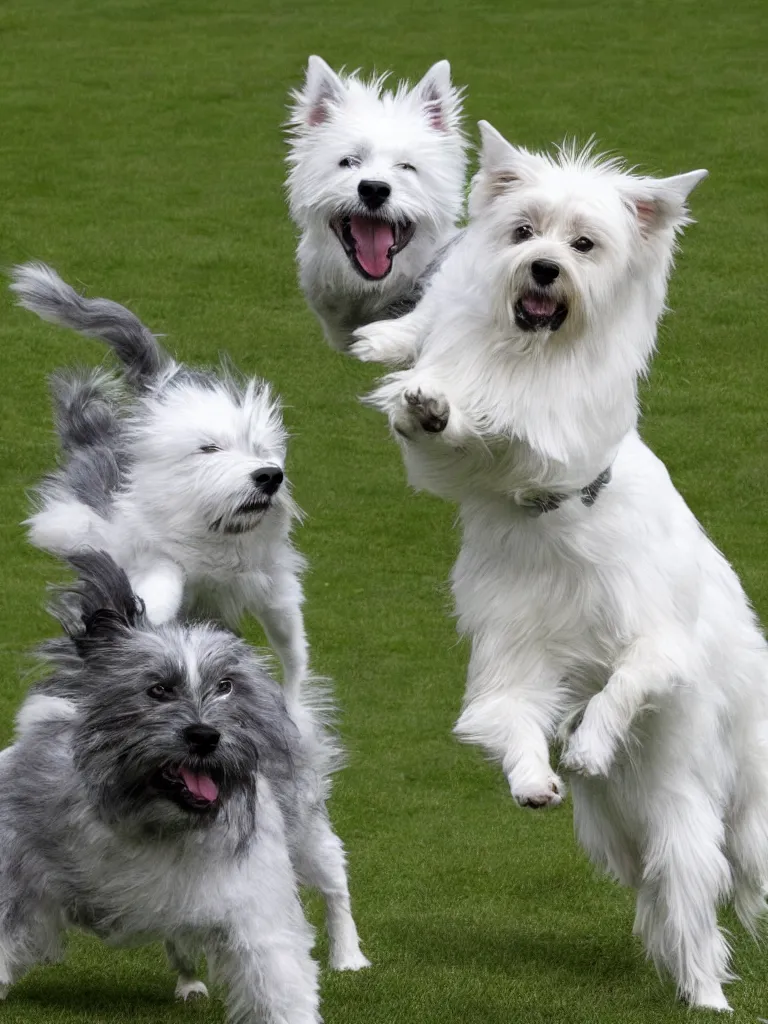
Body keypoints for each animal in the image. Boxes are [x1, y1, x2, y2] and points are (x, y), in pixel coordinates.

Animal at [0, 552, 366, 1024]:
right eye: (157, 690)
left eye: (225, 687)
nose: (205, 736)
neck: (154, 818)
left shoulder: (256, 904)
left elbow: (281, 985)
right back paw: (189, 983)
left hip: (306, 828)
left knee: (335, 882)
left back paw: (349, 956)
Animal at [9, 264, 309, 696]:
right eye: (208, 448)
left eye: (259, 447)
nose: (269, 476)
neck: (214, 538)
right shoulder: (156, 557)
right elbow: (161, 588)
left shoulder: (272, 583)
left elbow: (293, 647)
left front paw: (298, 702)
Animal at [354, 119, 768, 1007]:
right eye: (523, 233)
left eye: (583, 244)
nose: (543, 268)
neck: (555, 520)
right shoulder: (510, 670)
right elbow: (510, 724)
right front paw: (536, 777)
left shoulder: (661, 646)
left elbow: (625, 684)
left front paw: (587, 742)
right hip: (650, 832)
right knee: (680, 902)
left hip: (725, 815)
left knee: (710, 900)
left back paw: (711, 1001)